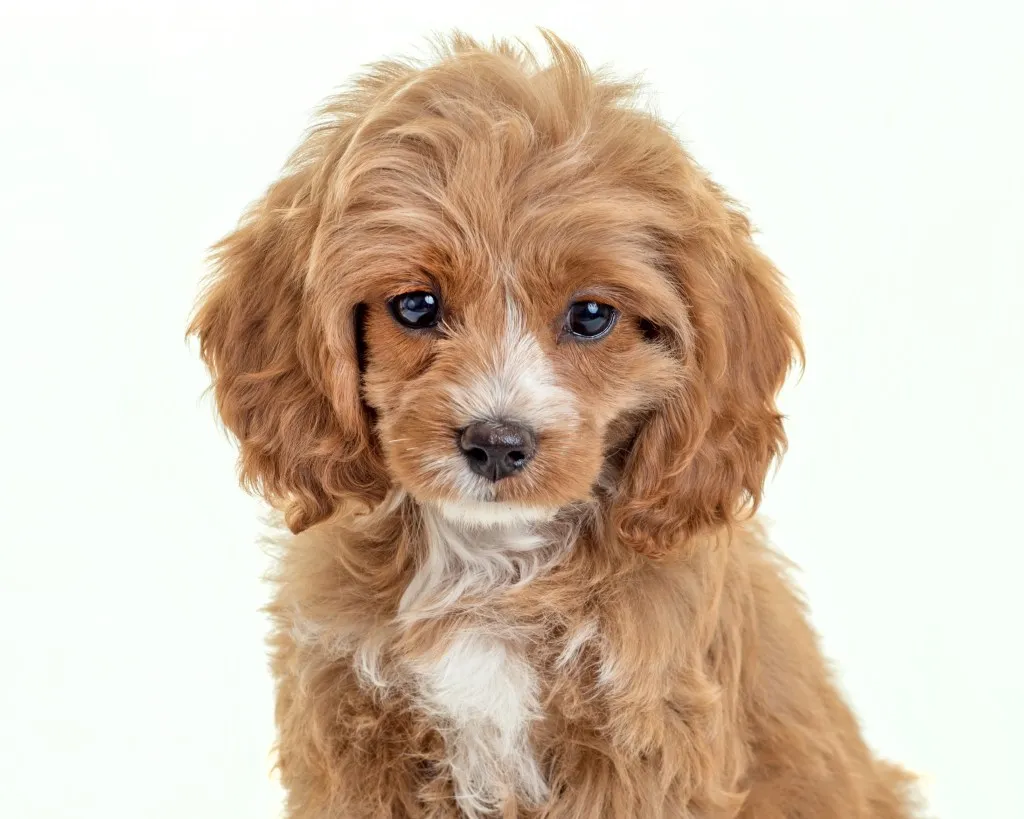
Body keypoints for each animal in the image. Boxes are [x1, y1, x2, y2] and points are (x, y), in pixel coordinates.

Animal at [192, 28, 921, 814]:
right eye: (415, 306)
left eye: (591, 314)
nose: (496, 442)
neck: (491, 561)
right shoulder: (349, 732)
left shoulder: (643, 742)